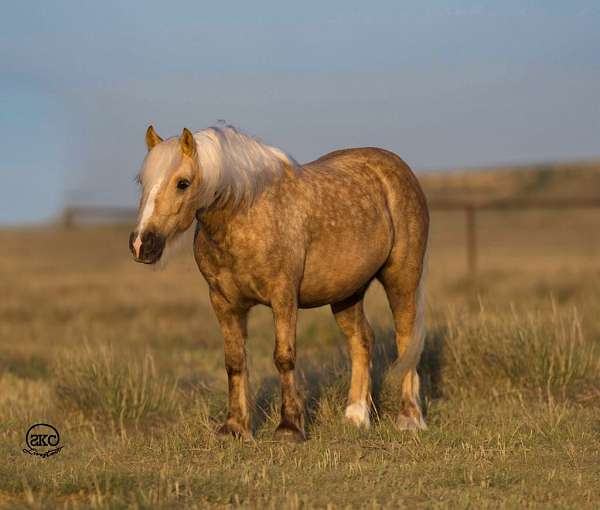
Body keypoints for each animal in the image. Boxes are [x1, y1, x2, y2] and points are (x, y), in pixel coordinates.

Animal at [129, 124, 428, 442]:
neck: (246, 214)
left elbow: (284, 357)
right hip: (346, 293)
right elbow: (234, 361)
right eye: (142, 181)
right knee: (361, 340)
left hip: (402, 279)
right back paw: (356, 417)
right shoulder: (223, 302)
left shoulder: (283, 296)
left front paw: (289, 428)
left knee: (406, 340)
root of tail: (397, 168)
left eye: (183, 183)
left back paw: (409, 419)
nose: (141, 244)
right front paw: (234, 428)